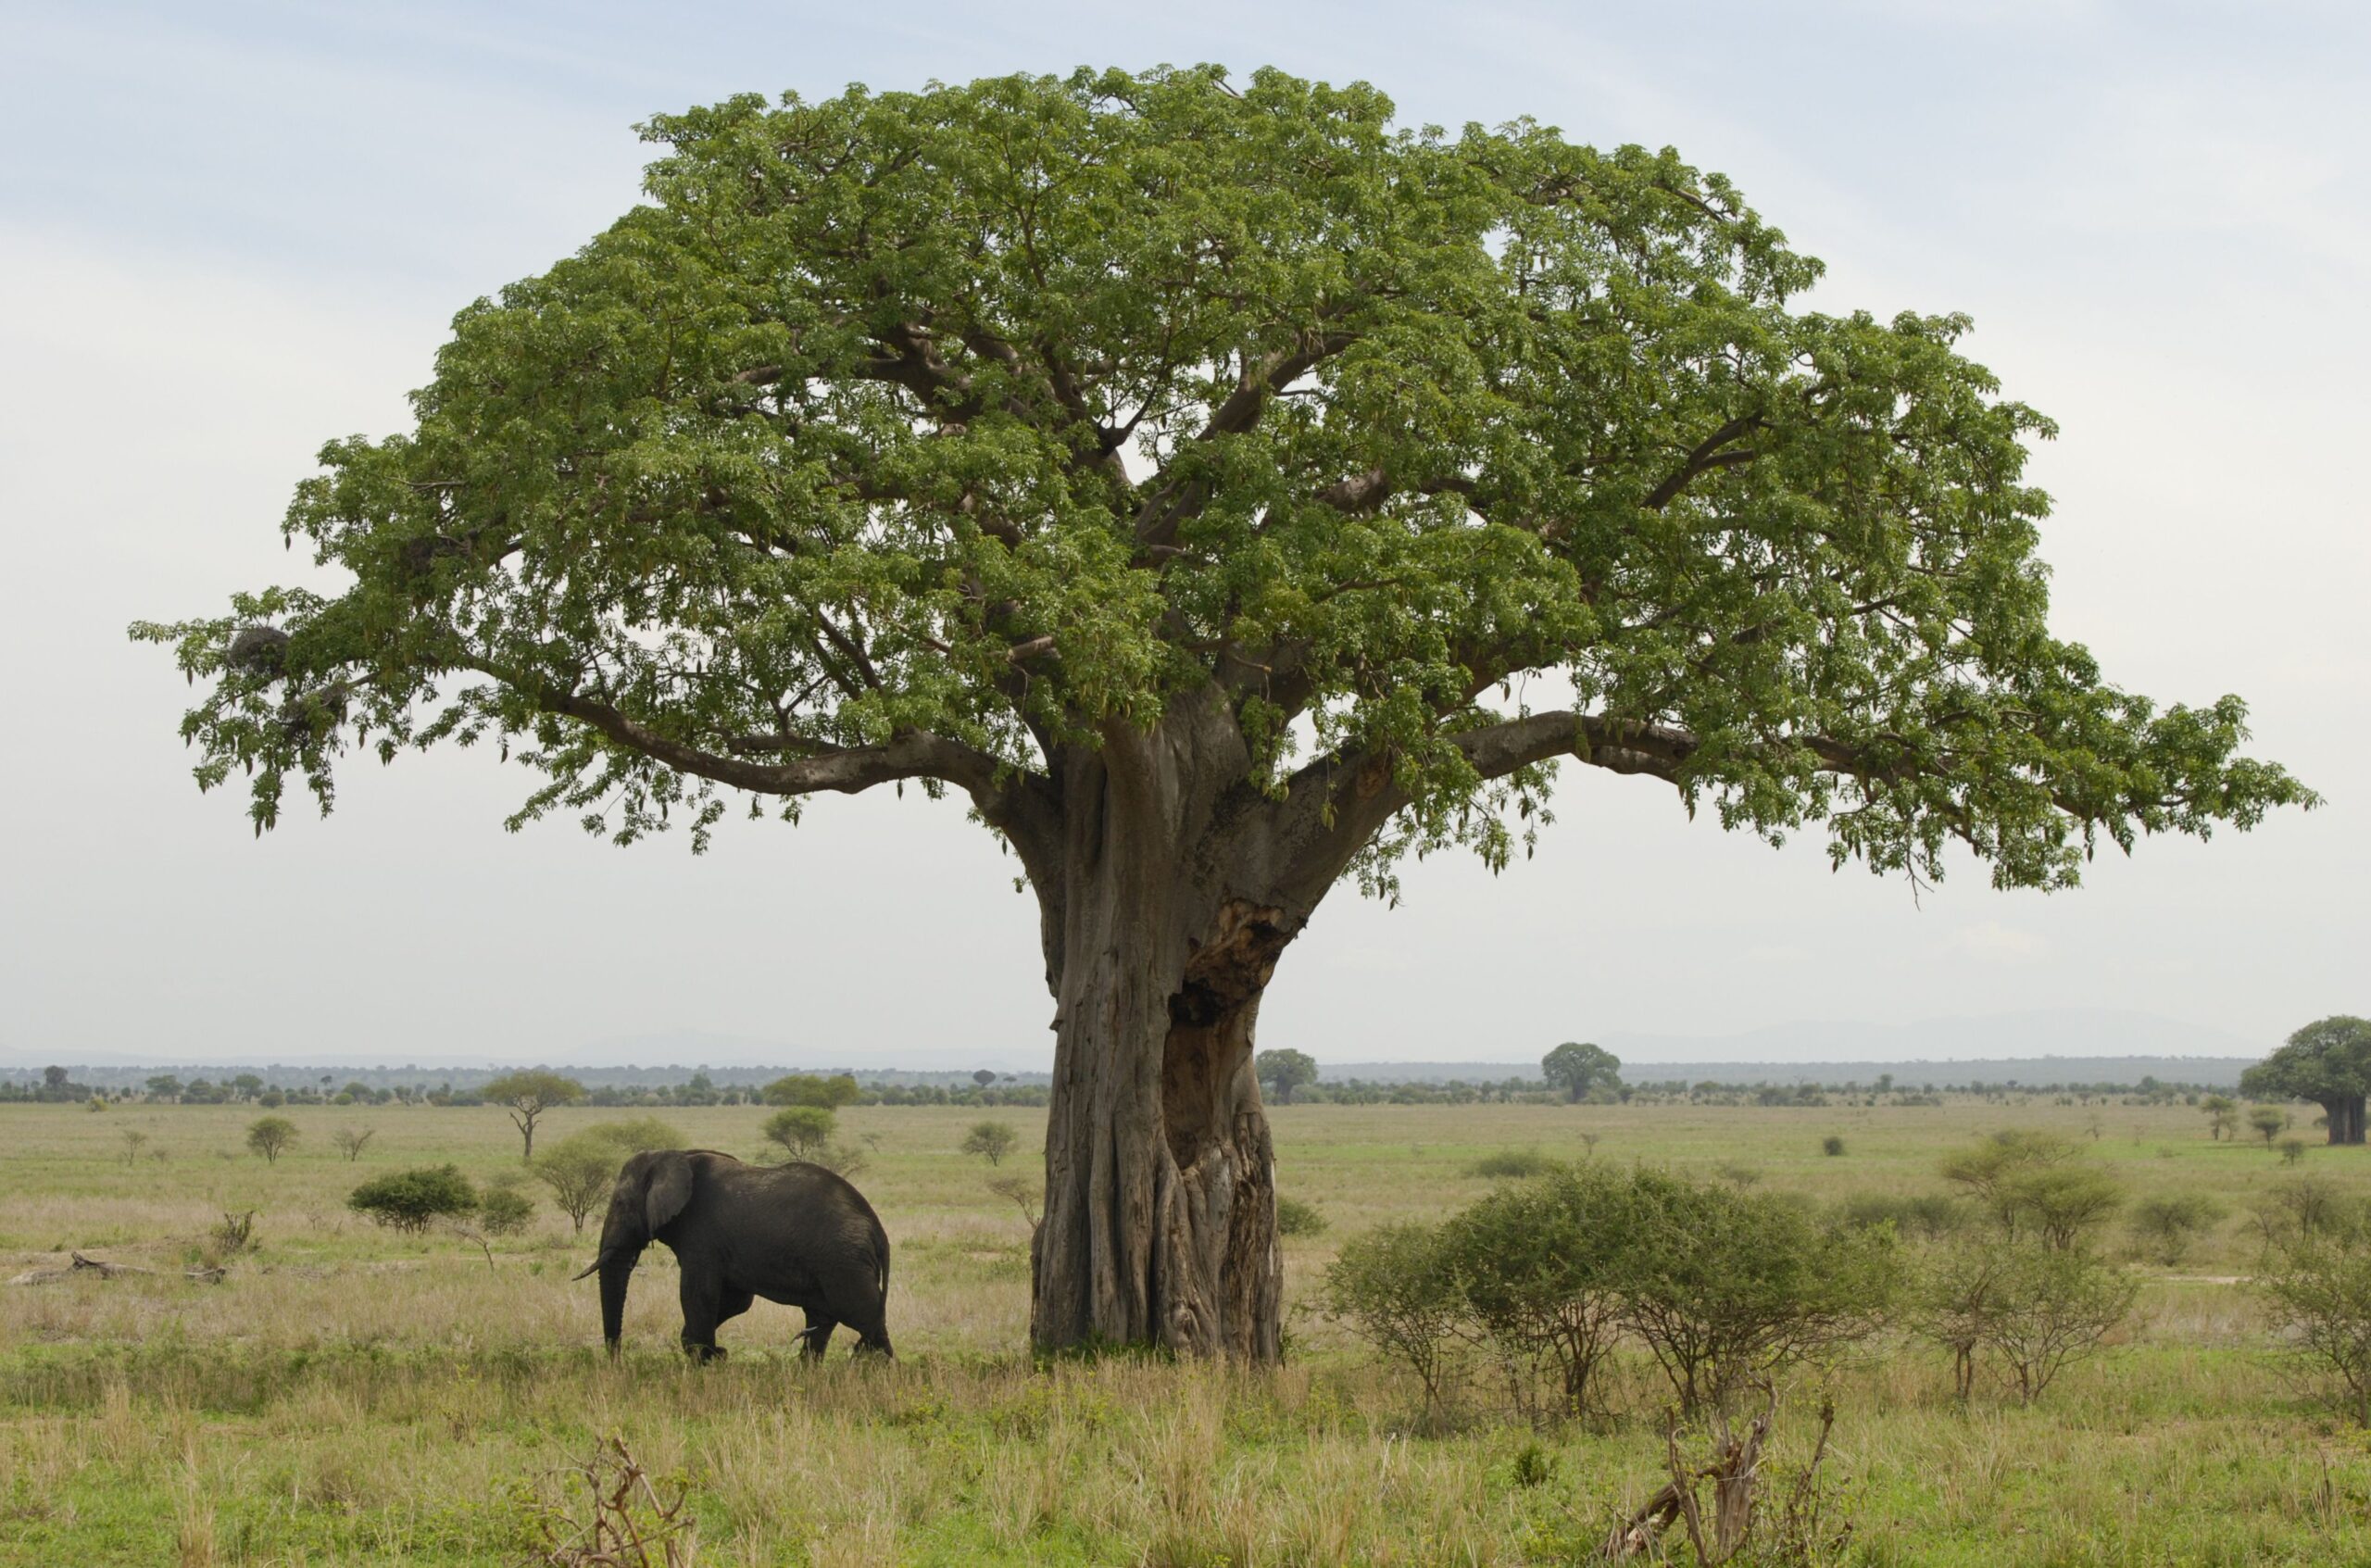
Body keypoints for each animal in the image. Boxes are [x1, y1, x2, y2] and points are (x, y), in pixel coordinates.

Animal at [578, 1148, 891, 1357]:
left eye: (620, 1203)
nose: (616, 1361)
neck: (673, 1156)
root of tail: (877, 1228)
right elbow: (736, 1300)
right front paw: (711, 1353)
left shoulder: (702, 1236)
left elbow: (697, 1294)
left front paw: (705, 1361)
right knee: (822, 1320)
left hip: (844, 1261)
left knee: (863, 1317)